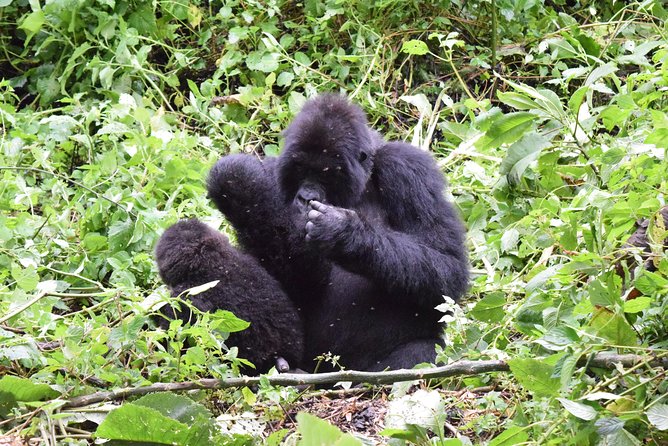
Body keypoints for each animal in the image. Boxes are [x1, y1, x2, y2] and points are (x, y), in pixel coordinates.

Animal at [201, 95, 468, 372]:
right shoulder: (273, 174)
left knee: (422, 352)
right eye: (299, 169)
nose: (306, 197)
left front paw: (343, 233)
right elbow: (286, 288)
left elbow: (447, 266)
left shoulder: (408, 168)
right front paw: (240, 185)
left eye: (326, 173)